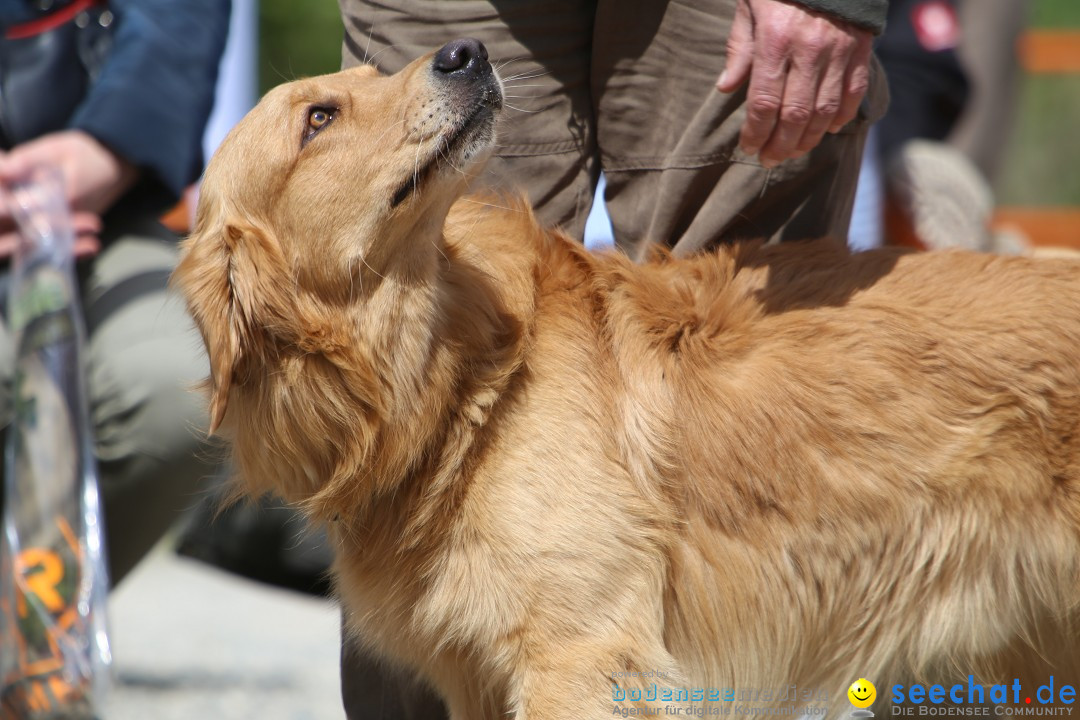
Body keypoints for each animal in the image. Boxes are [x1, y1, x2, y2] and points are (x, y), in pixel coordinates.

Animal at [172, 39, 1075, 720]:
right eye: (319, 118)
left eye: (364, 83)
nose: (468, 51)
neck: (462, 374)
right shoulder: (480, 674)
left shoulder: (582, 654)